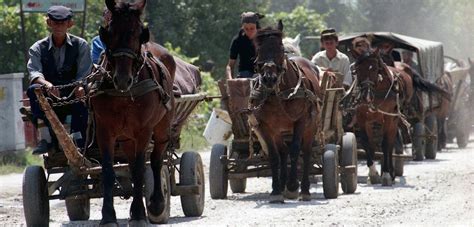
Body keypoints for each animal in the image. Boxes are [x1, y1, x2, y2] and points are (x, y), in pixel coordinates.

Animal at [90, 0, 178, 224]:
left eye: (139, 33)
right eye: (109, 32)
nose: (122, 79)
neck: (123, 93)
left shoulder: (143, 130)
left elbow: (140, 170)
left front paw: (139, 213)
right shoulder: (104, 130)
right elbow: (108, 171)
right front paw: (108, 216)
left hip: (162, 127)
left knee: (156, 160)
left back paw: (156, 204)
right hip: (126, 137)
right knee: (130, 161)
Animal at [248, 21, 322, 202]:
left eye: (280, 49)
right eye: (258, 49)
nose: (269, 78)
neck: (279, 93)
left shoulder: (301, 121)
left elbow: (295, 149)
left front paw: (293, 186)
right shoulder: (265, 126)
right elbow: (274, 155)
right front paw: (276, 190)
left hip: (311, 125)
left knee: (306, 151)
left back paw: (304, 189)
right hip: (278, 130)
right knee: (283, 152)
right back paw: (282, 184)